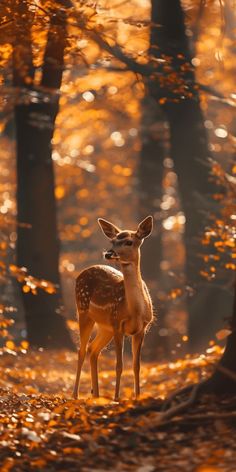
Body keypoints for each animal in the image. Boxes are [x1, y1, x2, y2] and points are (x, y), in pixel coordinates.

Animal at [73, 216, 154, 400]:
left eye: (129, 241)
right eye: (112, 241)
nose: (108, 253)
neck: (135, 311)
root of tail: (80, 274)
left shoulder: (142, 328)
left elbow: (137, 366)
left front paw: (137, 397)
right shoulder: (118, 323)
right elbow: (119, 365)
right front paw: (117, 398)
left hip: (105, 327)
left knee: (93, 350)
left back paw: (96, 395)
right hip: (83, 312)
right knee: (82, 350)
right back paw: (75, 395)